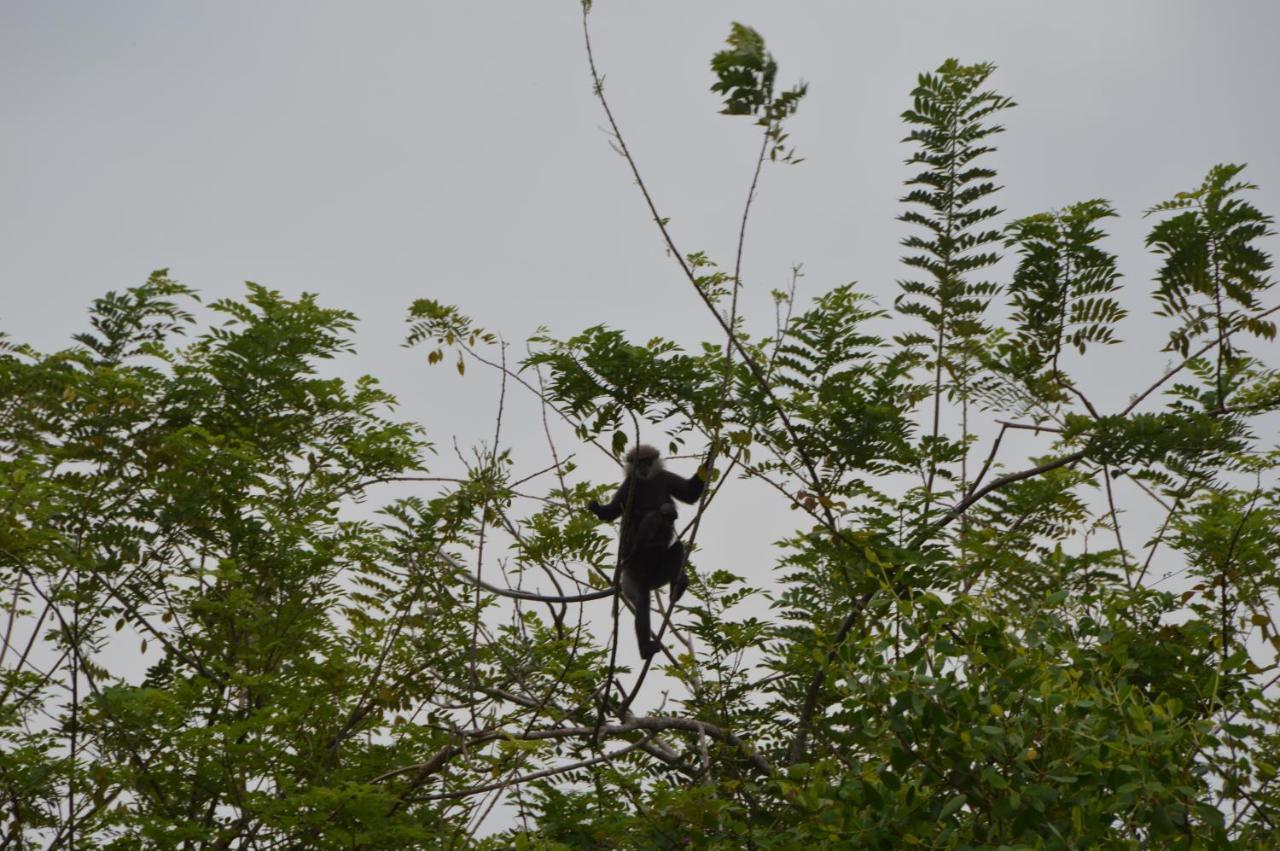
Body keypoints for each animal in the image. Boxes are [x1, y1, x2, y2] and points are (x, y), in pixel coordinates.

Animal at [588, 440, 711, 660]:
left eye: (647, 461)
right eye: (638, 462)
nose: (643, 469)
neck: (646, 481)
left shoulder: (663, 477)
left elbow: (690, 493)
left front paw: (714, 451)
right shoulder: (630, 485)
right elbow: (611, 514)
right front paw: (597, 508)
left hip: (658, 574)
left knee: (677, 546)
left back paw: (677, 587)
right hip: (631, 576)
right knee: (642, 600)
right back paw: (645, 649)